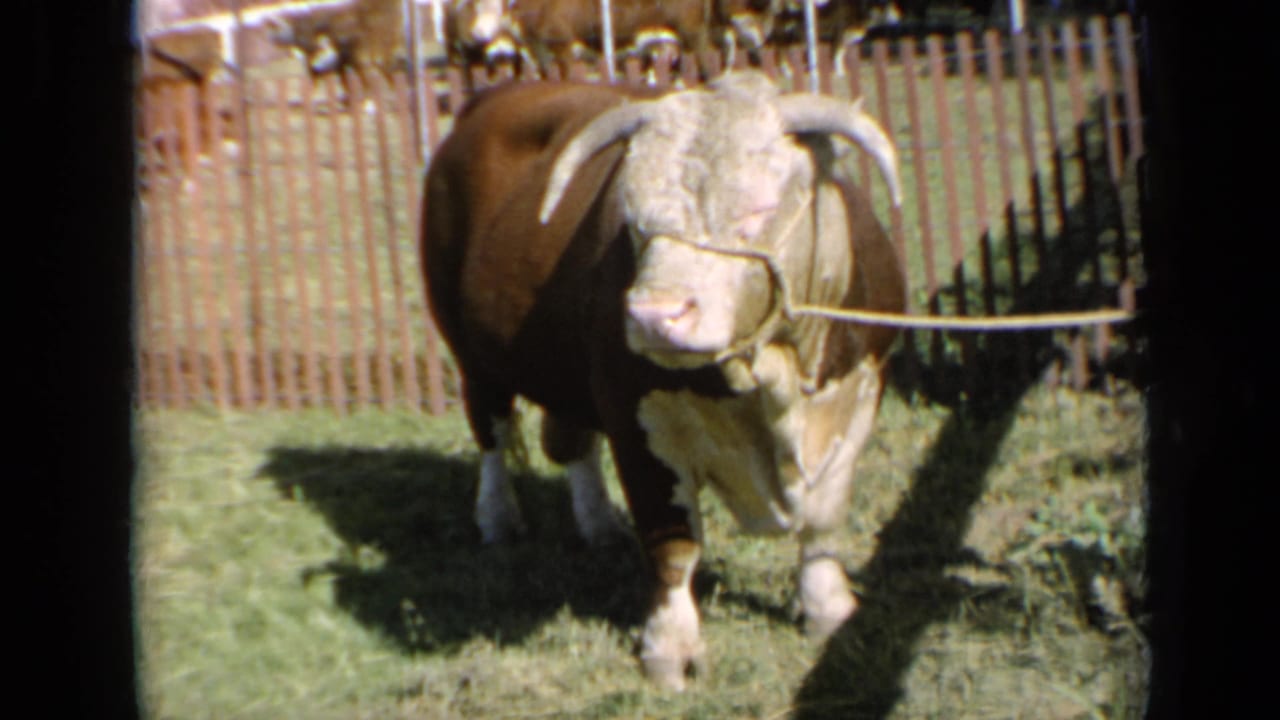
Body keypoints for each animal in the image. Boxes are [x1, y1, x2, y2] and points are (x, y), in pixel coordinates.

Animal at [420, 70, 905, 689]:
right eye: (634, 217)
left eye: (759, 208)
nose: (654, 315)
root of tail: (497, 95)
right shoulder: (636, 420)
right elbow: (673, 543)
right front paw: (669, 648)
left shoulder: (859, 394)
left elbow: (823, 518)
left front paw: (827, 608)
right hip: (473, 357)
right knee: (493, 437)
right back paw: (499, 518)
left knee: (570, 441)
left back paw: (599, 524)